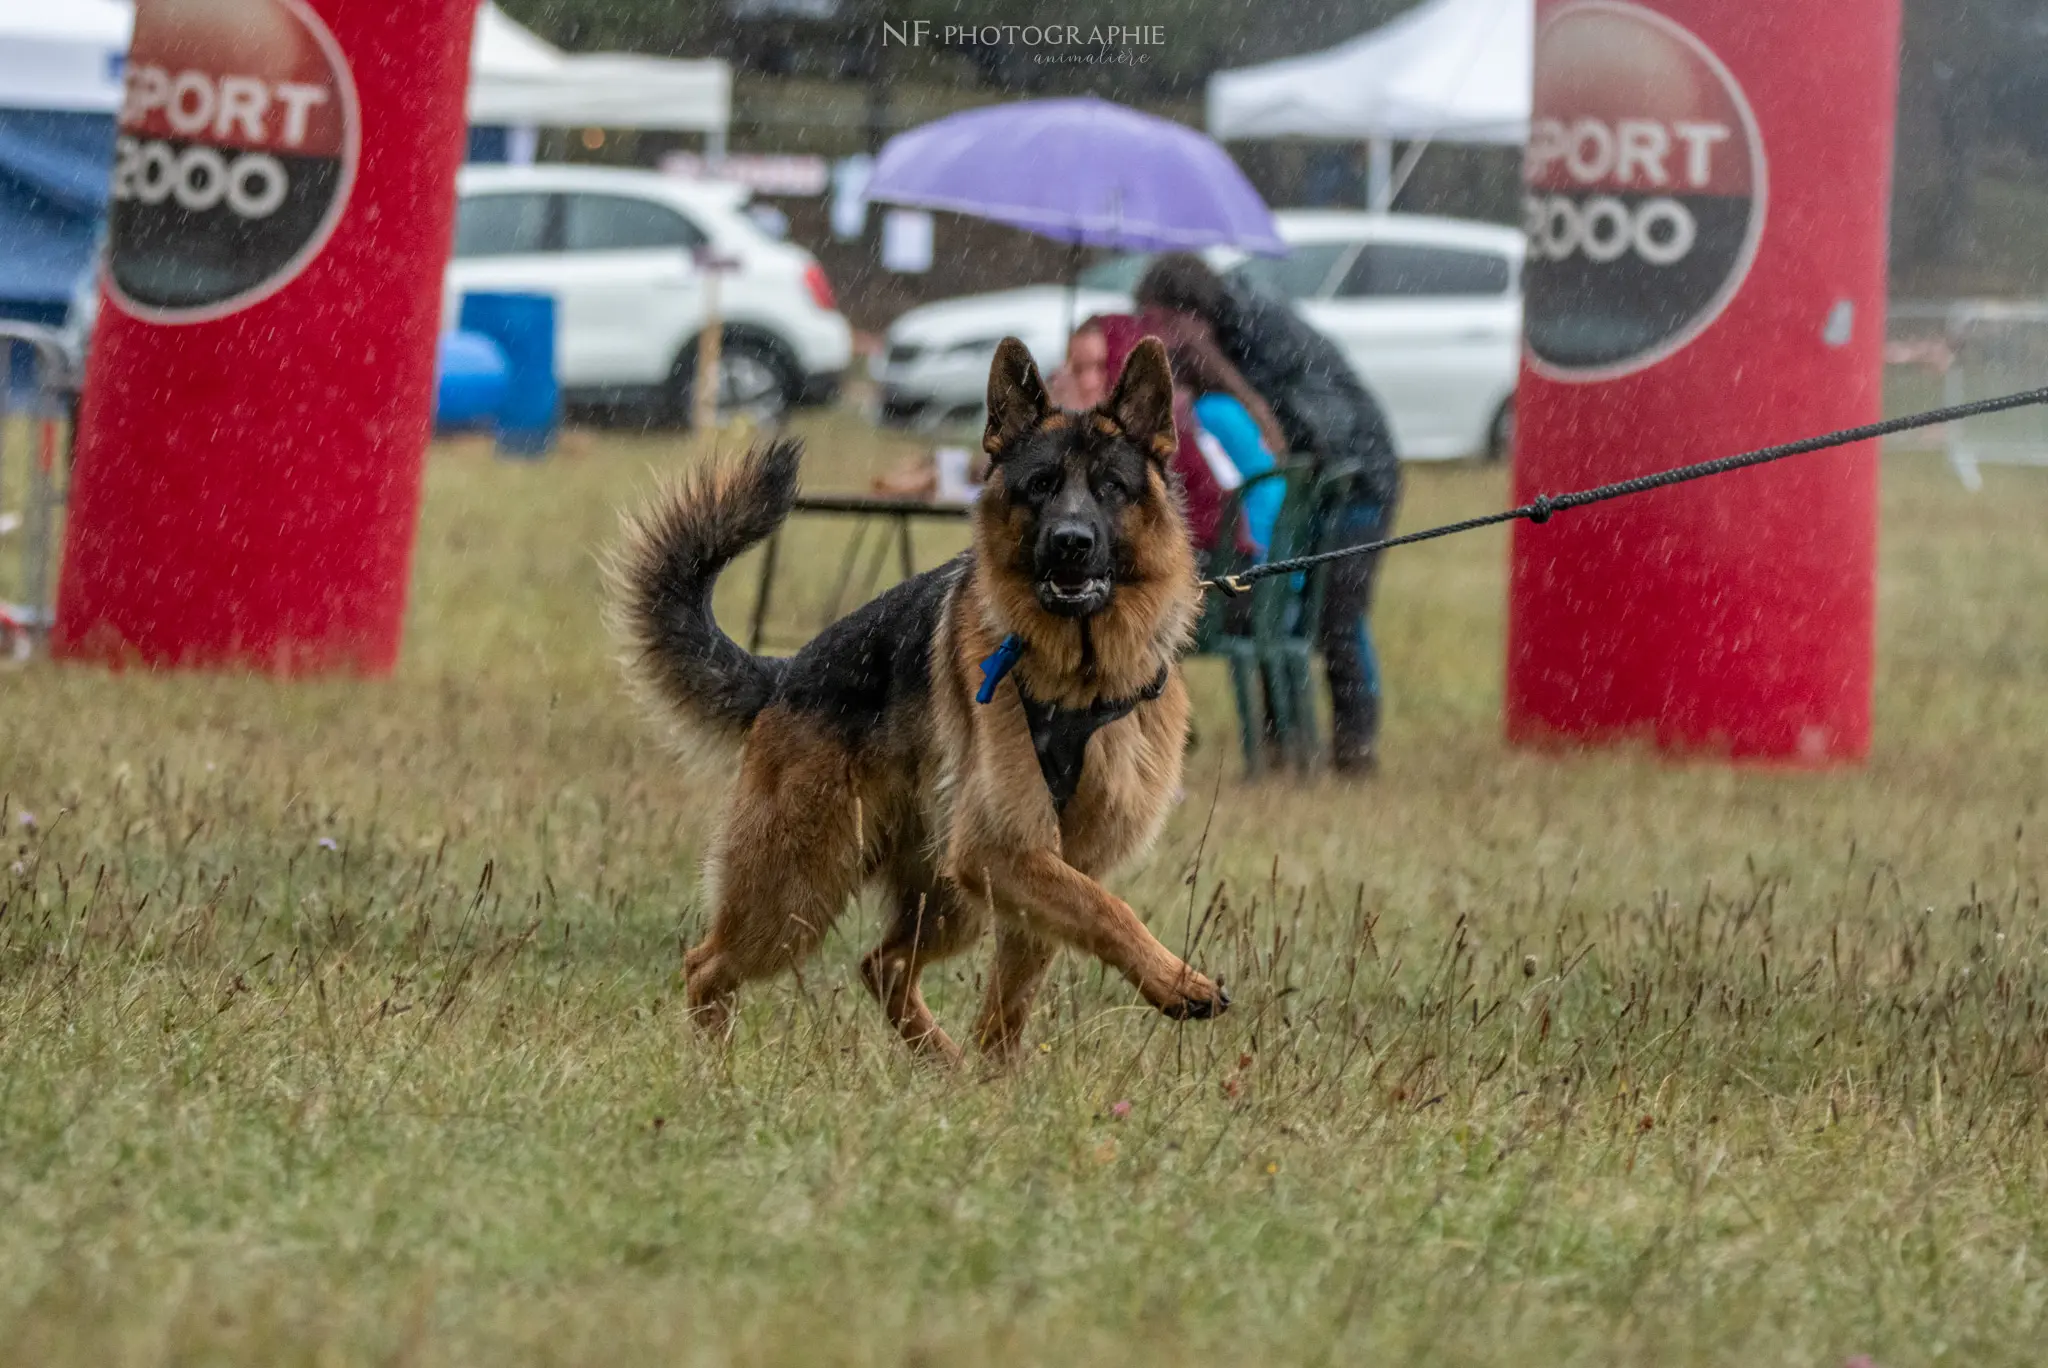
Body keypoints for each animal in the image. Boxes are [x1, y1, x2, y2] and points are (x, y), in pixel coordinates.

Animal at [610, 335, 1228, 1064]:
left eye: (1111, 487)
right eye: (1041, 485)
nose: (1071, 544)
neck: (1083, 679)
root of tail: (785, 676)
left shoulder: (1044, 867)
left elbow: (1014, 1000)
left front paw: (996, 1082)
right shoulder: (1001, 850)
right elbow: (1109, 911)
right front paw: (1178, 982)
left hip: (948, 896)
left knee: (883, 964)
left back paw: (946, 1064)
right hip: (800, 891)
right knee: (707, 965)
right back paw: (718, 1066)